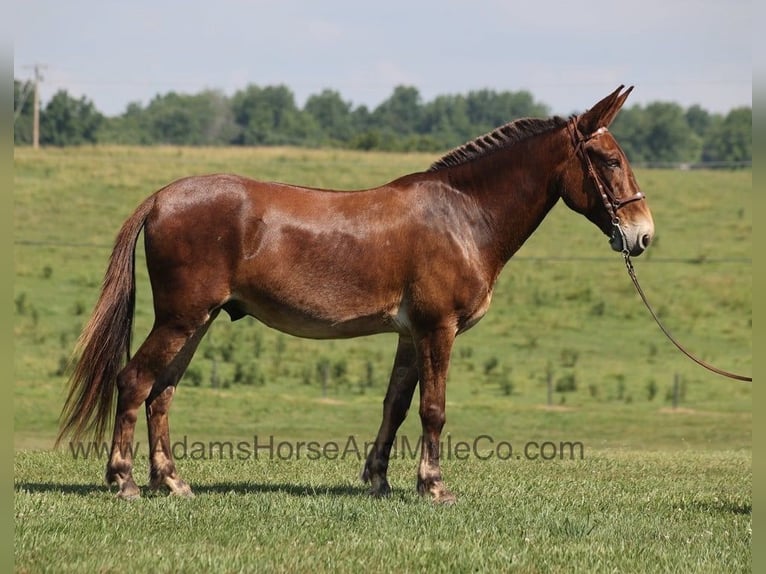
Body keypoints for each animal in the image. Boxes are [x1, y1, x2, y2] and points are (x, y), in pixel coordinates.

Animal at [57, 85, 654, 503]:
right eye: (609, 160)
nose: (642, 235)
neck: (461, 214)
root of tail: (162, 197)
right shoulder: (438, 329)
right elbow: (433, 409)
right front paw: (433, 486)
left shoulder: (411, 334)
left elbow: (396, 404)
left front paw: (379, 479)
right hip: (181, 319)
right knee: (135, 382)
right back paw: (125, 481)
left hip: (196, 323)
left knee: (163, 393)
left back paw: (172, 481)